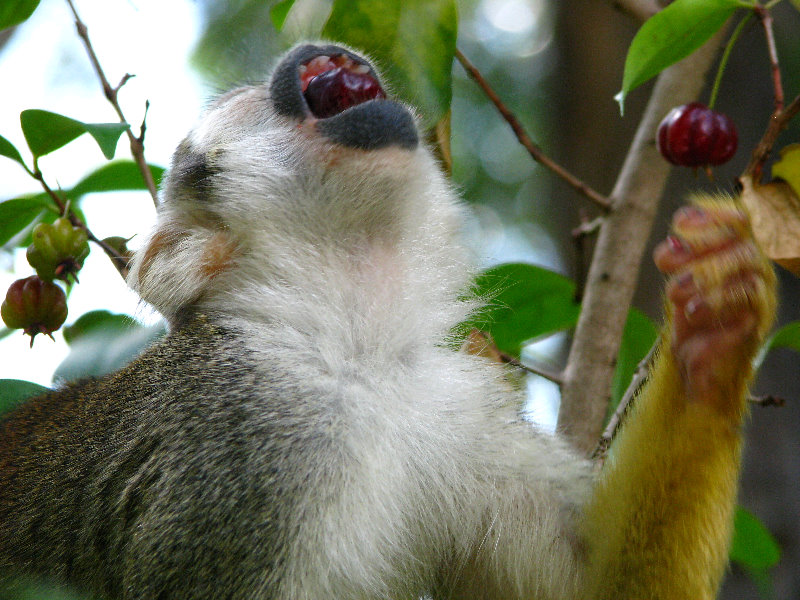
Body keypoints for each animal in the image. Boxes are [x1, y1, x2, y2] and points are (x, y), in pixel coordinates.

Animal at [0, 44, 776, 596]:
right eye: (249, 104)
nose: (316, 49)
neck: (352, 348)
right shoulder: (239, 450)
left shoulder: (456, 408)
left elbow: (604, 589)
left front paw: (717, 325)